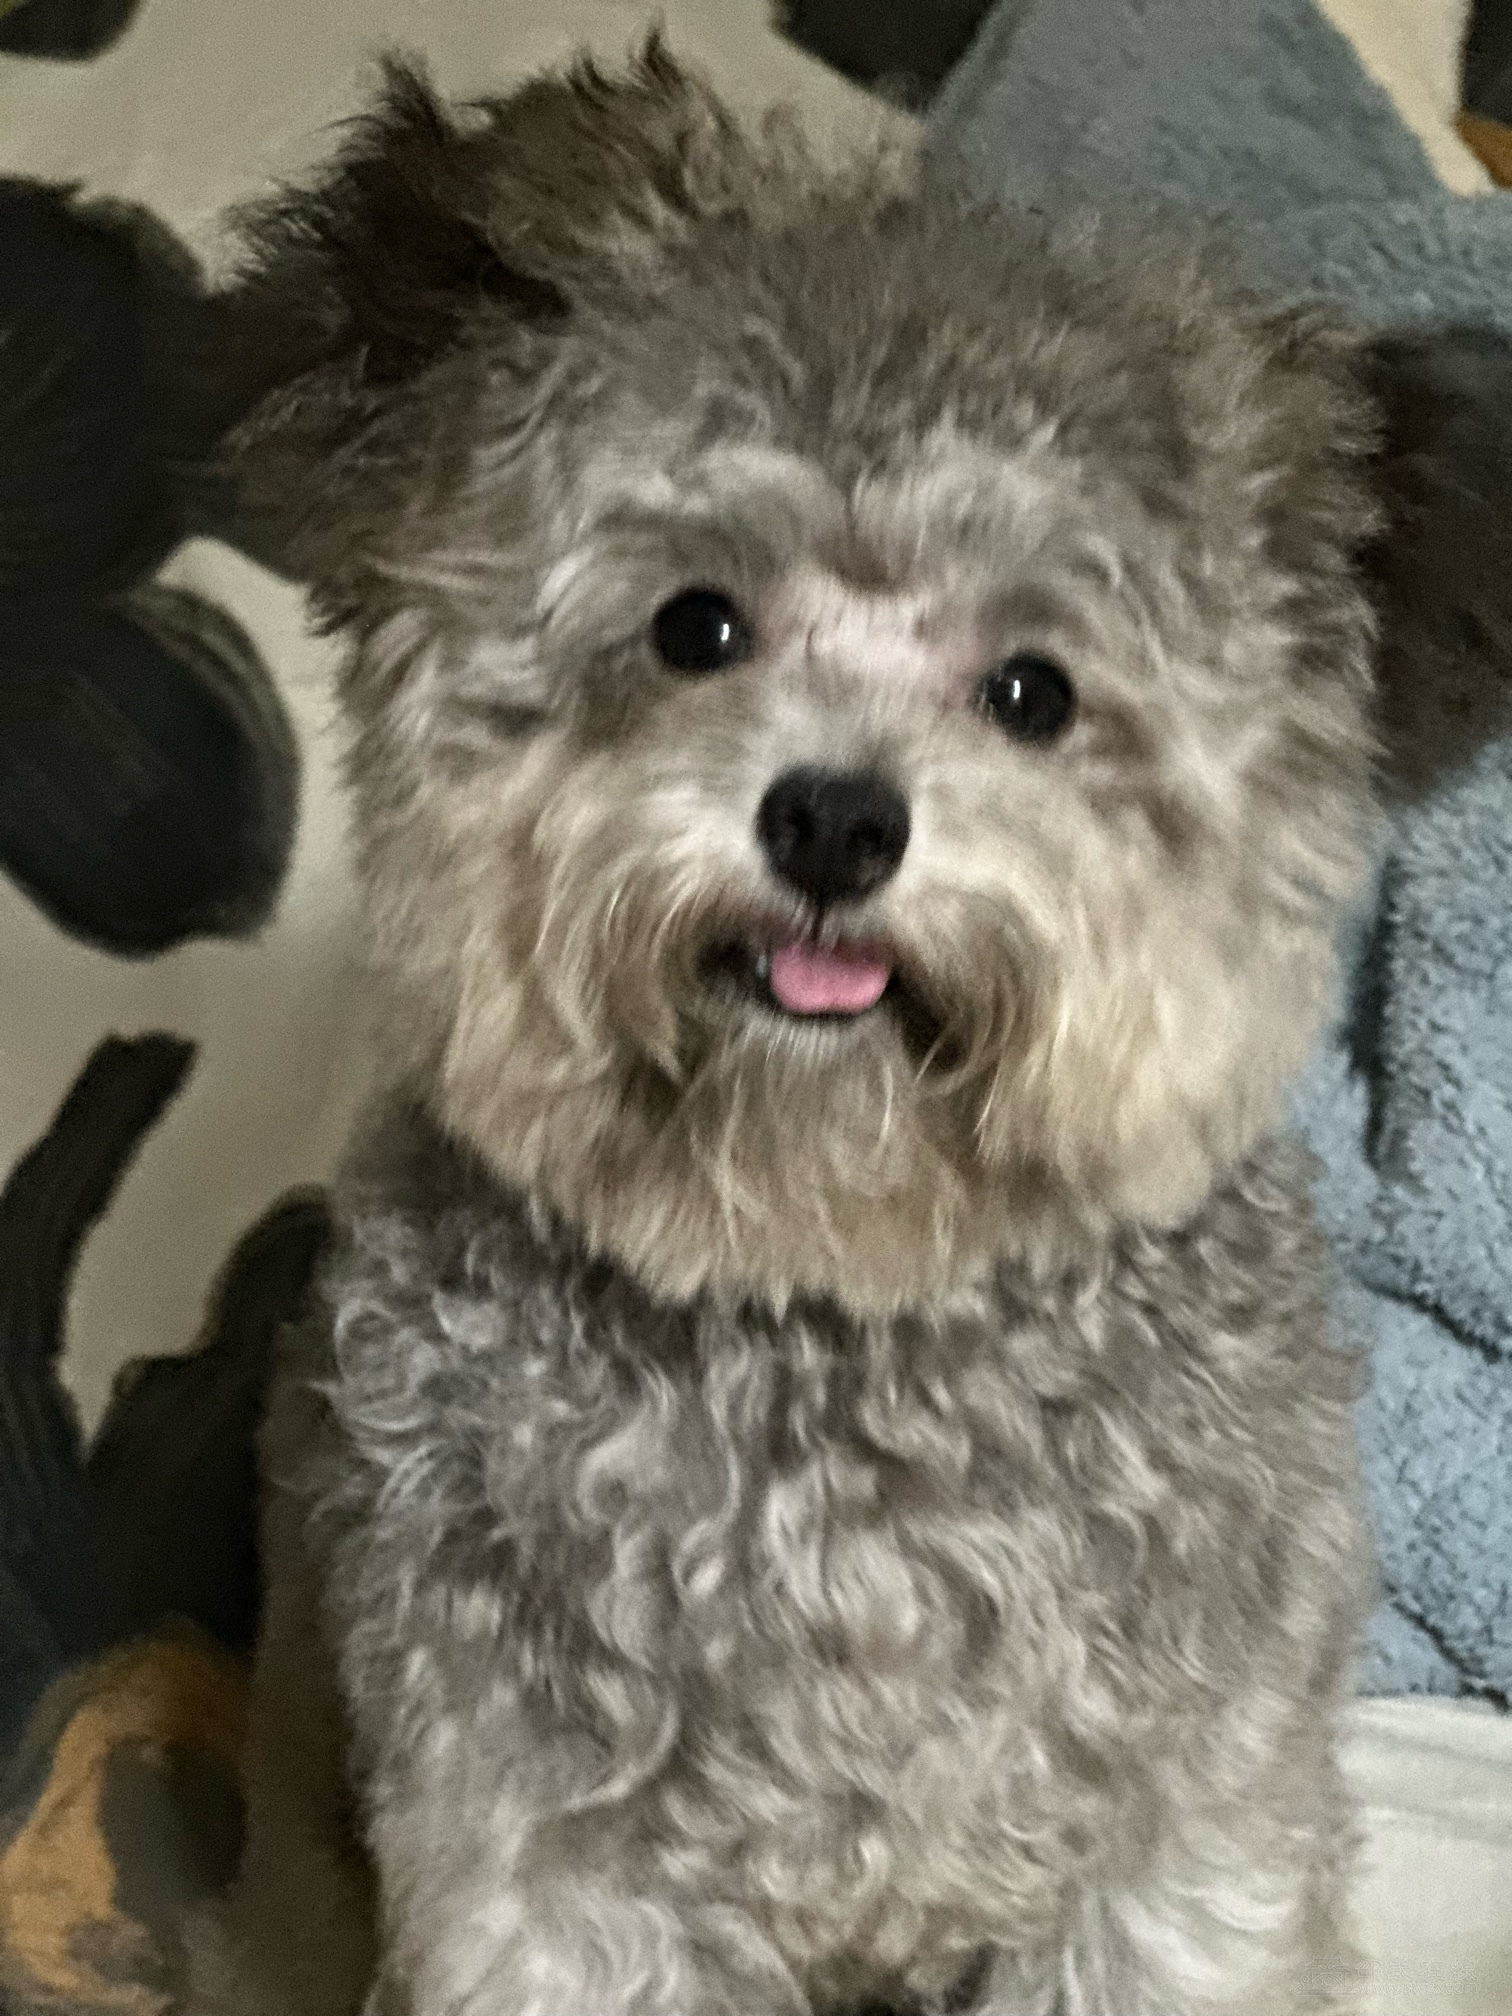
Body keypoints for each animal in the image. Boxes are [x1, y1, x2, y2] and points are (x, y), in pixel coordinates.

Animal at [189, 40, 1441, 2016]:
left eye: (1034, 690)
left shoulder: (1187, 1827)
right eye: (695, 624)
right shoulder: (535, 1861)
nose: (839, 822)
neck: (826, 1320)